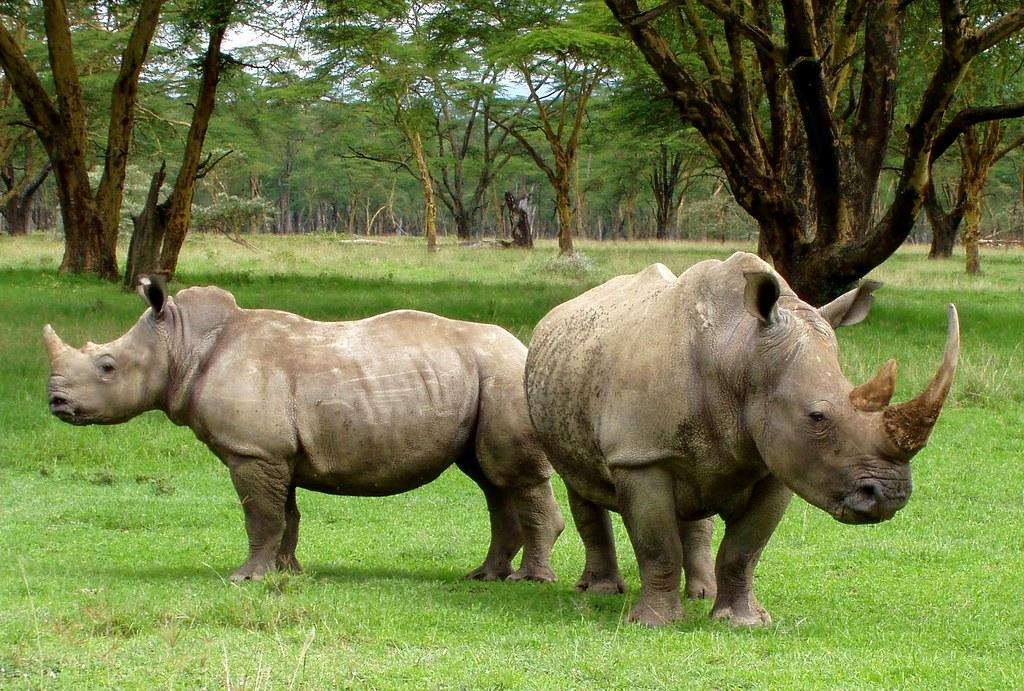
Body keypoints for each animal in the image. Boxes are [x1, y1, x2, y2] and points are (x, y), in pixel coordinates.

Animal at [44, 279, 564, 583]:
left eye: (107, 366)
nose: (55, 403)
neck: (182, 344)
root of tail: (524, 347)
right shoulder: (274, 452)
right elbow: (285, 517)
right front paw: (287, 574)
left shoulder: (252, 451)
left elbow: (260, 516)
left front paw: (245, 579)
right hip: (484, 378)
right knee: (491, 478)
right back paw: (485, 576)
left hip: (503, 375)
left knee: (512, 475)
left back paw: (528, 581)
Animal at [525, 252, 959, 627]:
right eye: (817, 417)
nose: (891, 496)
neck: (740, 355)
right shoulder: (640, 454)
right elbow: (657, 545)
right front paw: (652, 624)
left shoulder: (779, 463)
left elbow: (745, 548)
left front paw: (742, 621)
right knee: (581, 484)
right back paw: (600, 592)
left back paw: (700, 593)